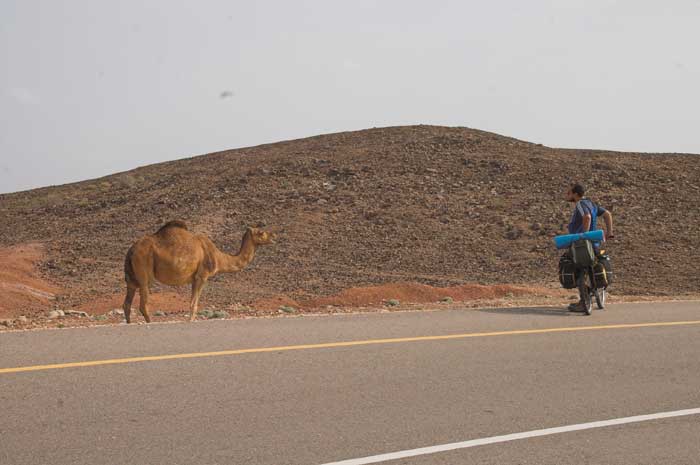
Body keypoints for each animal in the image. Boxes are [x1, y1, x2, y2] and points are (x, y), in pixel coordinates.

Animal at [123, 219, 274, 320]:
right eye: (261, 233)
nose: (274, 236)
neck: (219, 257)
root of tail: (131, 250)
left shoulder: (194, 279)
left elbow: (192, 303)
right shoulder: (202, 276)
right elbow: (193, 305)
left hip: (131, 278)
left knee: (127, 304)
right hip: (144, 271)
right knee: (143, 304)